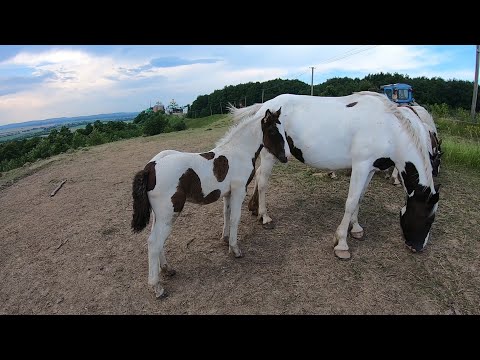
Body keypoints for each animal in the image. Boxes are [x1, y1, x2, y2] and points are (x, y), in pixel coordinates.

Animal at [130, 107, 288, 298]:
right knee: (154, 242)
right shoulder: (239, 190)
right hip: (170, 212)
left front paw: (225, 240)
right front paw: (235, 249)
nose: (285, 157)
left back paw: (167, 269)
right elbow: (235, 218)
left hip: (160, 215)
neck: (239, 152)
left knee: (157, 240)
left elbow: (226, 215)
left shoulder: (228, 193)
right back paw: (157, 287)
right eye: (272, 131)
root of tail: (150, 168)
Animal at [231, 90, 440, 258]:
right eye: (427, 218)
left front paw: (356, 228)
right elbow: (351, 202)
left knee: (259, 174)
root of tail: (264, 106)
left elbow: (360, 198)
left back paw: (254, 208)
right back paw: (264, 216)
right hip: (269, 154)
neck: (388, 129)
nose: (417, 247)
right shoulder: (361, 166)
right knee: (263, 181)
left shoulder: (370, 169)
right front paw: (342, 244)